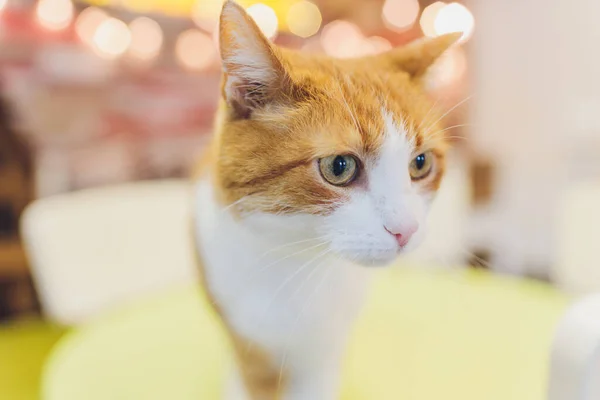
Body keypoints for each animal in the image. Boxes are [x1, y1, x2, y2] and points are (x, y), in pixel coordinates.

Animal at [193, 1, 460, 398]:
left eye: (420, 163)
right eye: (339, 167)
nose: (406, 230)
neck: (303, 265)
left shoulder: (327, 348)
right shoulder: (250, 344)